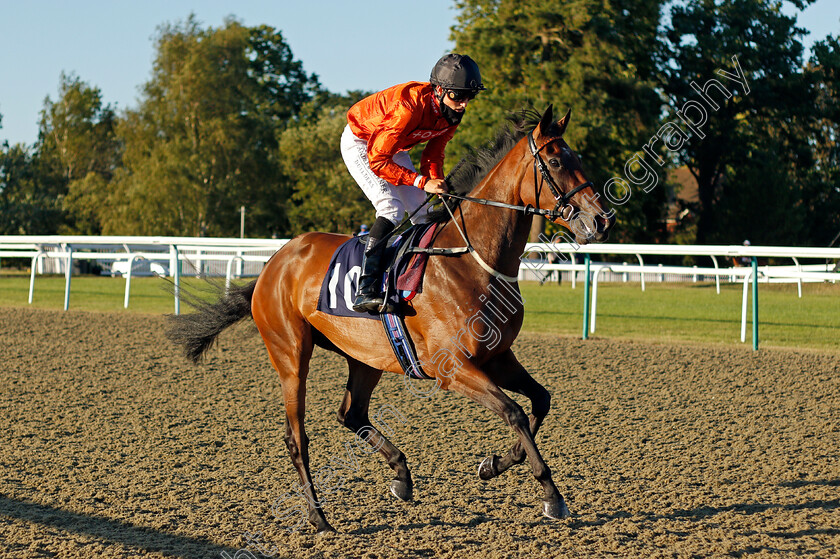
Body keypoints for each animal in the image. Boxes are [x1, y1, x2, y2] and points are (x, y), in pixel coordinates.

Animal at [166, 105, 612, 532]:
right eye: (555, 161)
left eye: (577, 157)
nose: (601, 220)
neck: (470, 260)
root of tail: (274, 263)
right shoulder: (454, 369)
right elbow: (514, 412)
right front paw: (552, 495)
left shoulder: (498, 356)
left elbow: (540, 401)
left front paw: (493, 465)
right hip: (291, 356)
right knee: (297, 437)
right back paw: (318, 517)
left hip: (365, 356)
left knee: (351, 413)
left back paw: (401, 476)